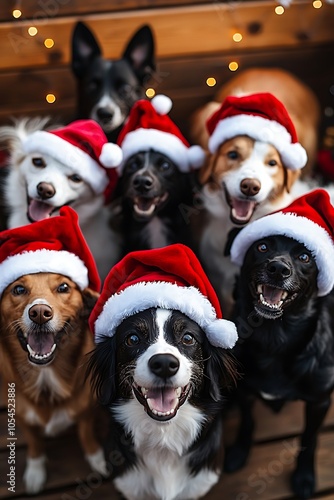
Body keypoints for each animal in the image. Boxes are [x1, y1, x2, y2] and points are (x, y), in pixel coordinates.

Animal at [0, 205, 108, 494]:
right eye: (18, 288)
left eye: (63, 287)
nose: (39, 312)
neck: (45, 374)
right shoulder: (22, 417)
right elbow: (35, 444)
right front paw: (35, 472)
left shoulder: (86, 411)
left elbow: (86, 435)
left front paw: (97, 459)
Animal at [226, 189, 334, 498]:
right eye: (262, 247)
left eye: (305, 256)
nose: (277, 268)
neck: (274, 336)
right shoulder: (244, 390)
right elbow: (248, 422)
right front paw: (239, 451)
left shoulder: (319, 402)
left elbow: (309, 439)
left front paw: (305, 476)